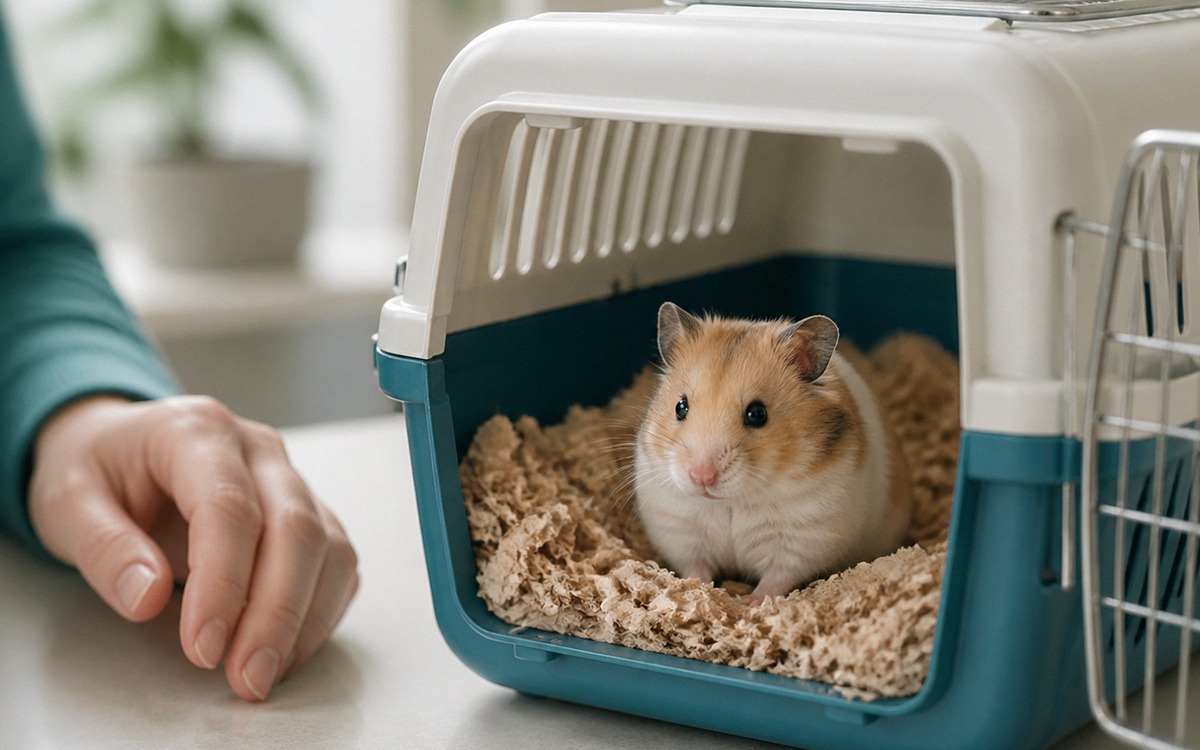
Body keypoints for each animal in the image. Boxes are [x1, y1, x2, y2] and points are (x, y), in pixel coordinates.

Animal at [633, 302, 912, 605]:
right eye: (680, 407)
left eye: (757, 414)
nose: (701, 477)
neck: (732, 501)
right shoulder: (681, 530)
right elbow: (696, 567)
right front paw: (702, 591)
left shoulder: (804, 537)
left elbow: (777, 577)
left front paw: (748, 602)